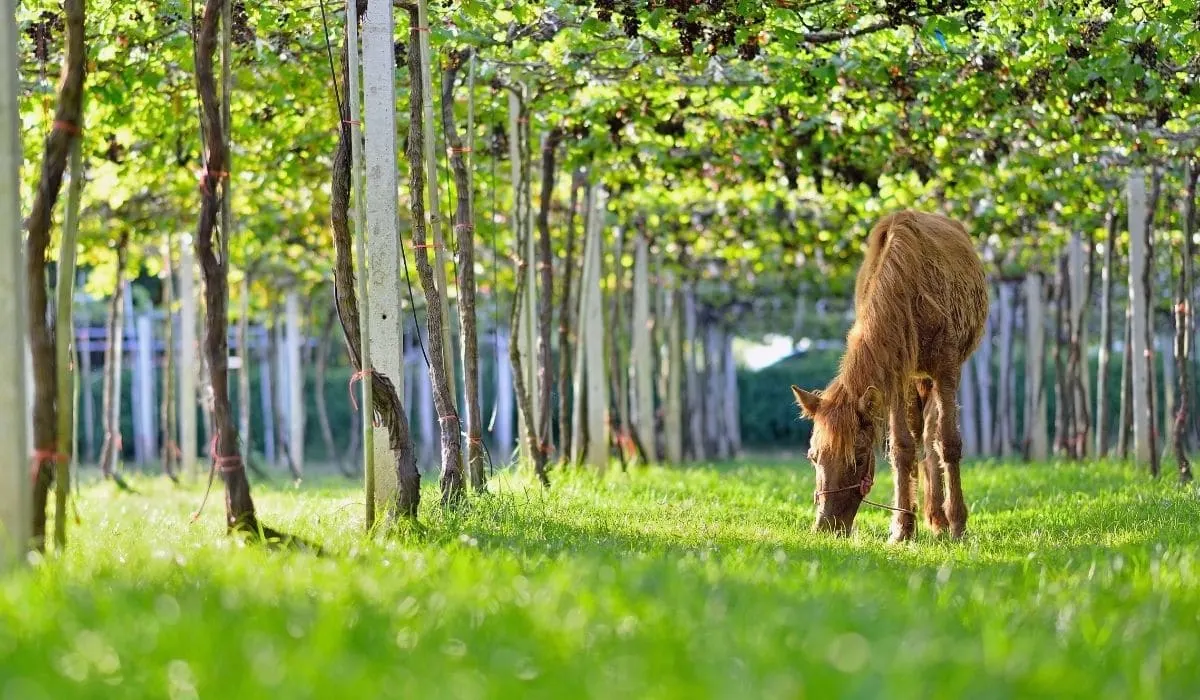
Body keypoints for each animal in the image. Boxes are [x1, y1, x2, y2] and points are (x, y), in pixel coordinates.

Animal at [790, 210, 989, 541]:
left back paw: (942, 519)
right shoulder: (895, 374)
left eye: (858, 457)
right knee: (922, 434)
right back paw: (931, 516)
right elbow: (902, 448)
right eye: (812, 457)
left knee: (933, 434)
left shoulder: (946, 368)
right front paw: (902, 528)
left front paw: (958, 524)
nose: (827, 527)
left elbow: (949, 442)